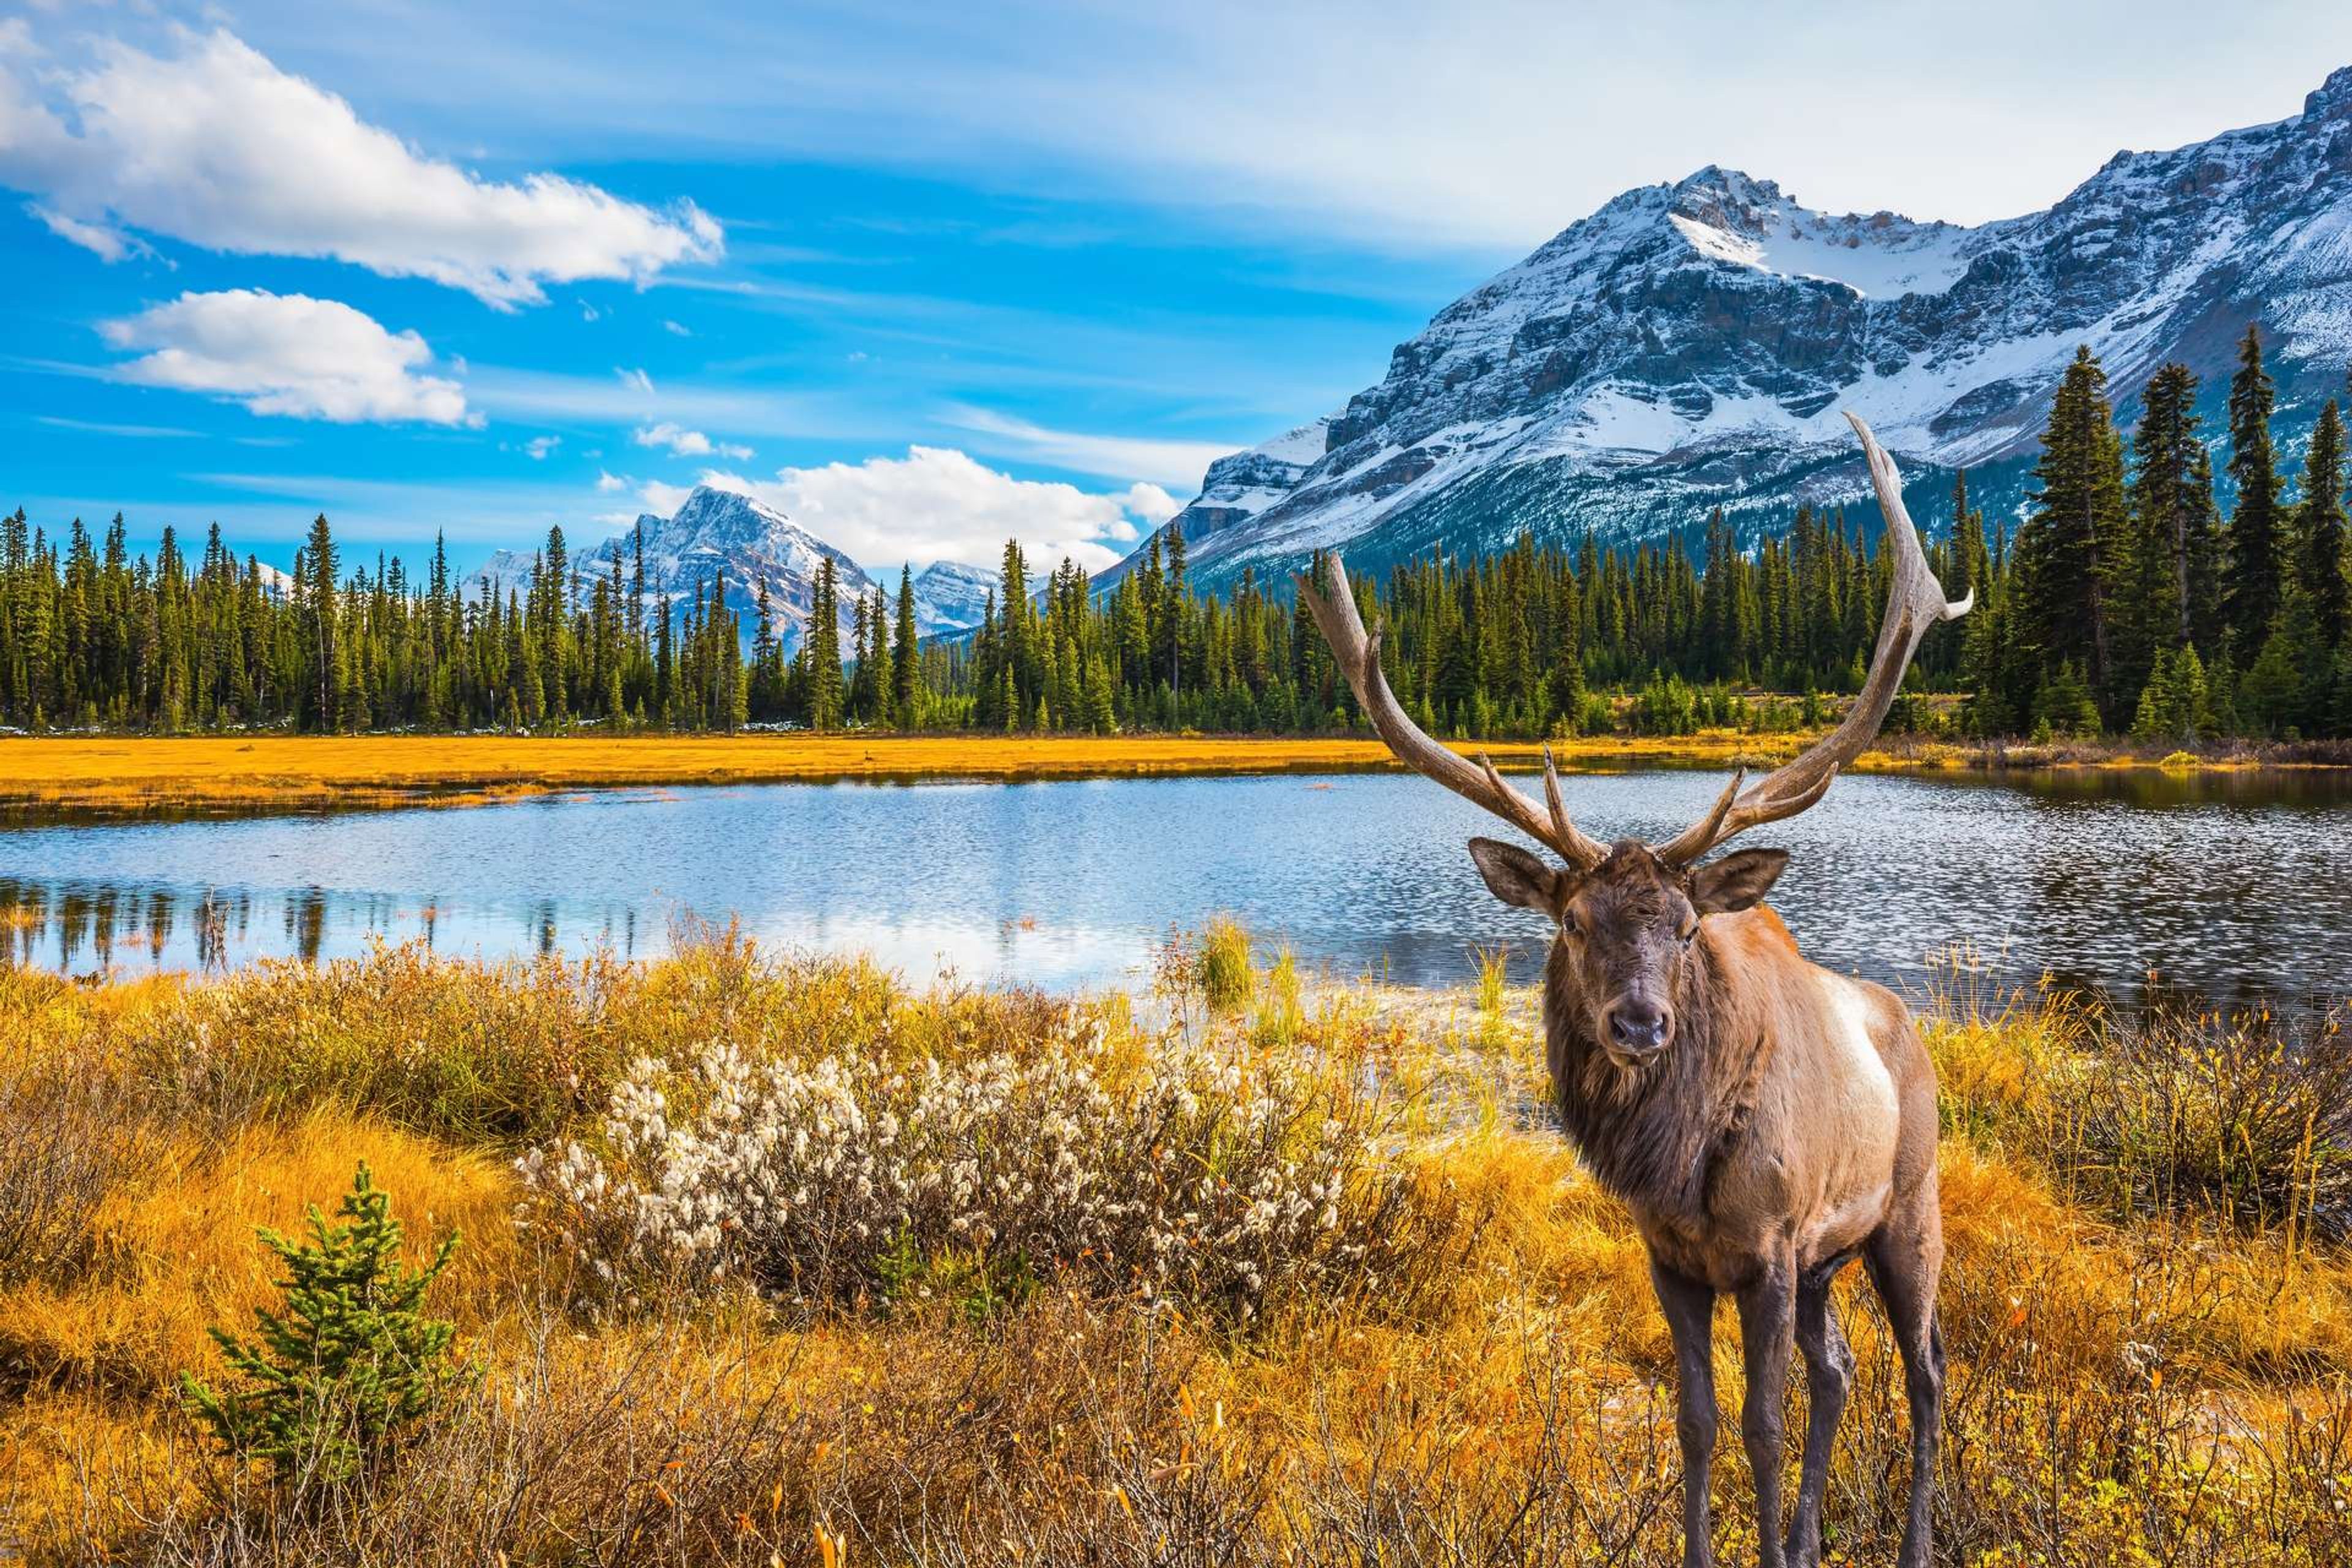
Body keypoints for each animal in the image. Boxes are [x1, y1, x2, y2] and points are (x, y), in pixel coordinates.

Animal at [1298, 413, 1975, 1568]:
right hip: (1831, 1262)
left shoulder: (1772, 1248)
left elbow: (1760, 1425)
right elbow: (1696, 1423)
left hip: (1905, 1210)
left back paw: (1915, 1544)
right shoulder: (1673, 1258)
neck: (1683, 1162)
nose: (1639, 1020)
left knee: (1927, 1375)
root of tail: (1908, 1029)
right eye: (1573, 923)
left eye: (1687, 926)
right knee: (1843, 1374)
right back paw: (1813, 1536)